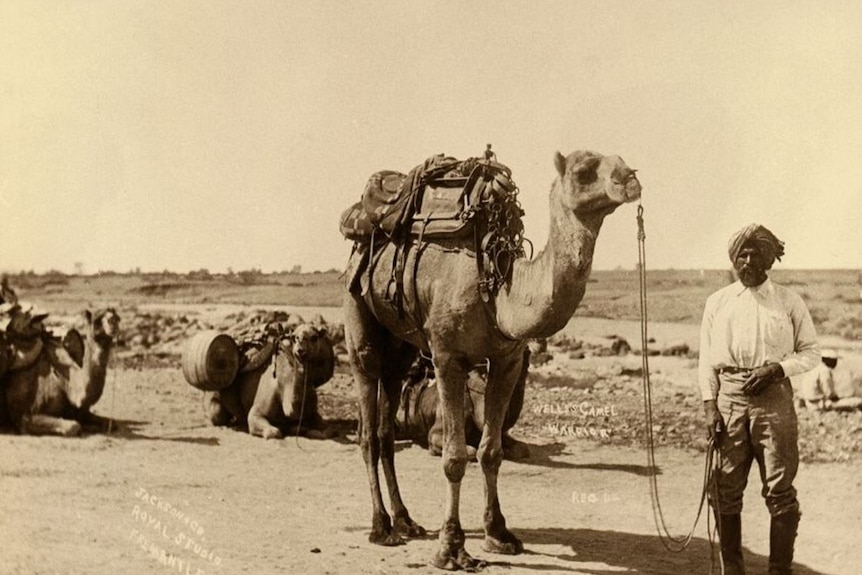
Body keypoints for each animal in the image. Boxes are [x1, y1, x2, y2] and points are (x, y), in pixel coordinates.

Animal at [208, 324, 340, 440]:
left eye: (314, 337)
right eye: (295, 337)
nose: (300, 350)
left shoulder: (313, 411)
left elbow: (330, 430)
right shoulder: (257, 411)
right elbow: (273, 432)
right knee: (217, 415)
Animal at [344, 150, 640, 572]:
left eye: (623, 160)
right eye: (584, 171)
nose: (629, 179)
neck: (500, 291)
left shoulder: (507, 360)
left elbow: (491, 451)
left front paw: (499, 534)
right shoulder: (447, 357)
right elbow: (454, 456)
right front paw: (452, 548)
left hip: (400, 348)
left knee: (387, 427)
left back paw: (406, 520)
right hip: (357, 311)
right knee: (368, 424)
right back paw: (381, 527)